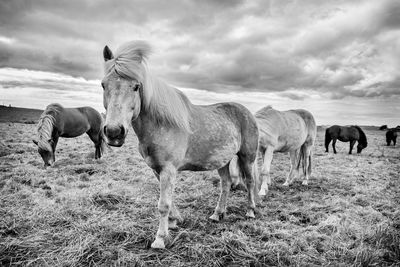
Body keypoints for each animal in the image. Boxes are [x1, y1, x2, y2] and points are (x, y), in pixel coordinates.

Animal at [99, 40, 256, 250]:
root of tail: (247, 112)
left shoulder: (169, 169)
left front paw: (159, 239)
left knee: (250, 182)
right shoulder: (157, 169)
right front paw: (174, 221)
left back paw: (251, 211)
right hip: (223, 161)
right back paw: (217, 214)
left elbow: (163, 204)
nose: (114, 132)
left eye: (136, 86)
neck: (161, 123)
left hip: (247, 157)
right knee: (226, 184)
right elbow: (169, 201)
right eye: (103, 85)